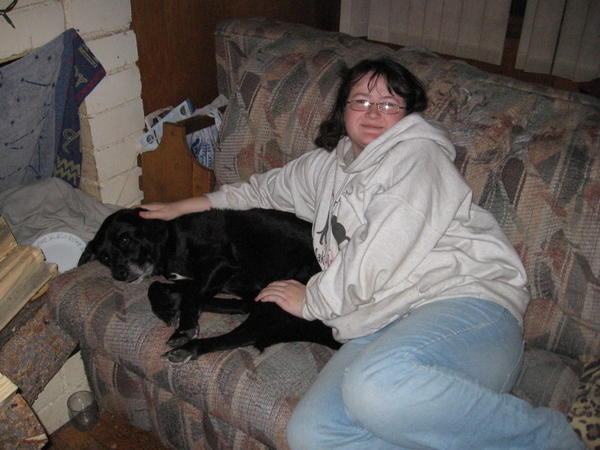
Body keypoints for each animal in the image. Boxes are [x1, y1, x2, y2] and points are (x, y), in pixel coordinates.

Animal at [79, 207, 340, 362]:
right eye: (104, 257)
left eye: (124, 238)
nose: (119, 273)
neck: (171, 237)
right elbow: (161, 287)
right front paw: (165, 307)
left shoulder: (220, 264)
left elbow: (191, 295)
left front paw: (183, 327)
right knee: (241, 309)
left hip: (279, 298)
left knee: (241, 335)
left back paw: (188, 348)